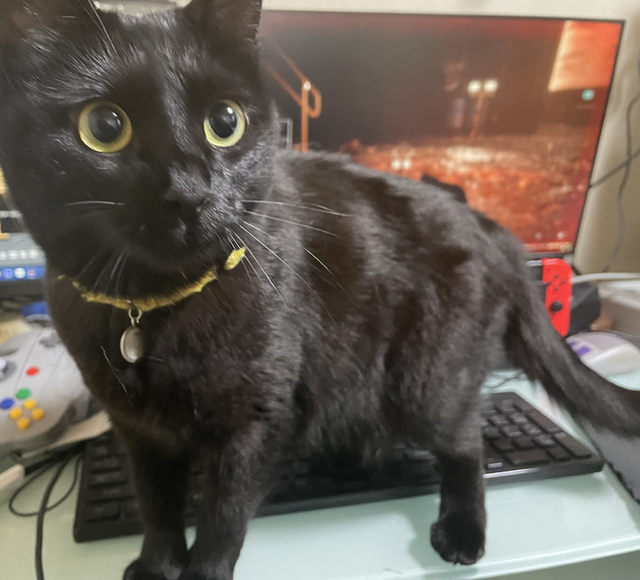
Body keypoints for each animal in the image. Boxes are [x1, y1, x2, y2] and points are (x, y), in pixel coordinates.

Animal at [1, 1, 639, 580]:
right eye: (103, 127)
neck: (154, 309)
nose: (188, 191)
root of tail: (488, 225)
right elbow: (156, 508)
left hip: (428, 382)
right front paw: (158, 567)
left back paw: (462, 529)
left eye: (225, 122)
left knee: (467, 443)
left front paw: (200, 572)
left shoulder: (257, 420)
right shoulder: (139, 431)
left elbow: (222, 518)